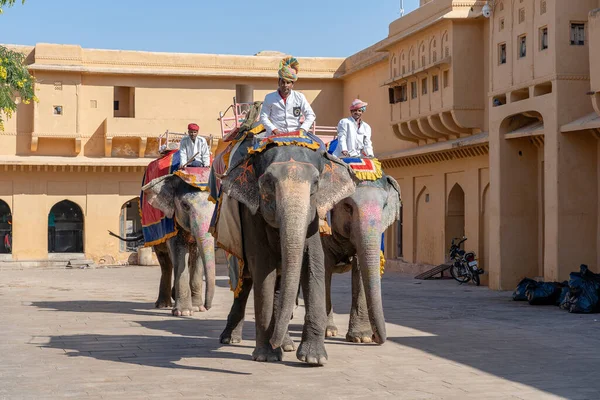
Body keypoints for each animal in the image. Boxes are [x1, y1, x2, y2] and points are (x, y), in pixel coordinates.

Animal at [137, 173, 217, 318]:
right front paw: (184, 312)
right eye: (185, 205)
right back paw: (163, 304)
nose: (207, 307)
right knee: (165, 262)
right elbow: (179, 253)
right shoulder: (171, 222)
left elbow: (197, 256)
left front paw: (197, 308)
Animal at [213, 132, 356, 366]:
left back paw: (286, 344)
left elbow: (314, 263)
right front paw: (267, 355)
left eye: (316, 183)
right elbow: (263, 268)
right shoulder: (251, 212)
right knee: (244, 281)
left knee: (280, 286)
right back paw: (230, 339)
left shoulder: (315, 217)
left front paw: (314, 359)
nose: (274, 343)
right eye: (267, 183)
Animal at [322, 158, 400, 346]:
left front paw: (361, 337)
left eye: (385, 206)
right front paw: (327, 332)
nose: (376, 337)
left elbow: (361, 268)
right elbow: (323, 269)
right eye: (348, 207)